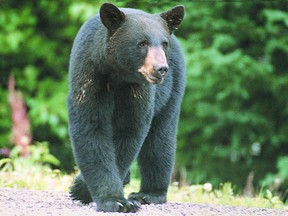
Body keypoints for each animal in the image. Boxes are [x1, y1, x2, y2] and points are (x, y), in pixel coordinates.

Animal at [67, 2, 184, 213]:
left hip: (172, 90)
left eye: (164, 44)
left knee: (160, 141)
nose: (161, 68)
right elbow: (91, 128)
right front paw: (112, 200)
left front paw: (85, 190)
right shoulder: (89, 75)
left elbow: (129, 134)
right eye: (142, 43)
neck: (118, 75)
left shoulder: (138, 90)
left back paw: (149, 194)